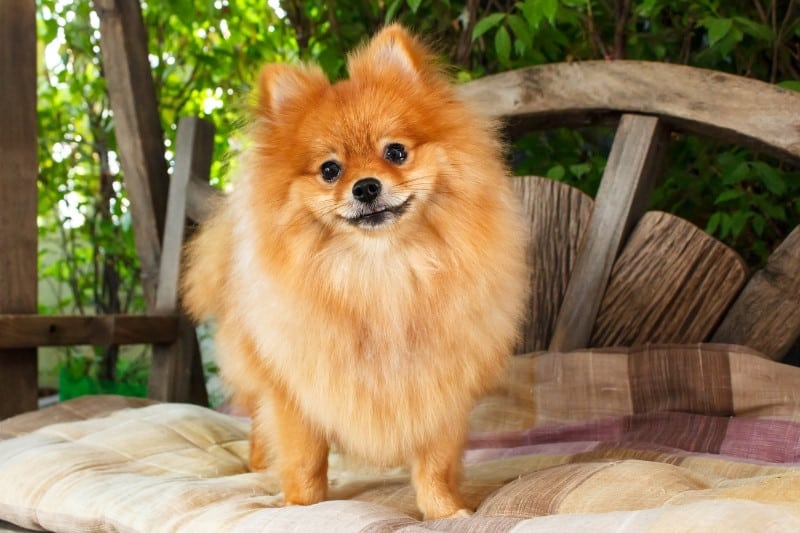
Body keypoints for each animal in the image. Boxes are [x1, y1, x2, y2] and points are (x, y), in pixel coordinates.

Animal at [183, 25, 532, 520]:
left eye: (396, 152)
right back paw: (258, 462)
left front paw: (445, 511)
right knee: (255, 416)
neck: (381, 271)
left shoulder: (441, 383)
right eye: (330, 169)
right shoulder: (297, 389)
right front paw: (301, 507)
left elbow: (436, 462)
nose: (366, 187)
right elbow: (305, 459)